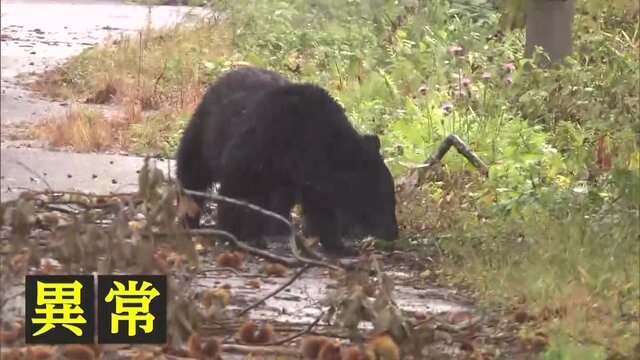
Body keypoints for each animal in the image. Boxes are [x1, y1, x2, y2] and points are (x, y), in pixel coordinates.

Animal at [178, 65, 398, 256]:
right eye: (383, 197)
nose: (394, 232)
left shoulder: (311, 174)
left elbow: (321, 208)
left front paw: (340, 246)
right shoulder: (260, 144)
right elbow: (236, 187)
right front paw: (232, 235)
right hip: (203, 133)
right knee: (193, 173)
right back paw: (191, 219)